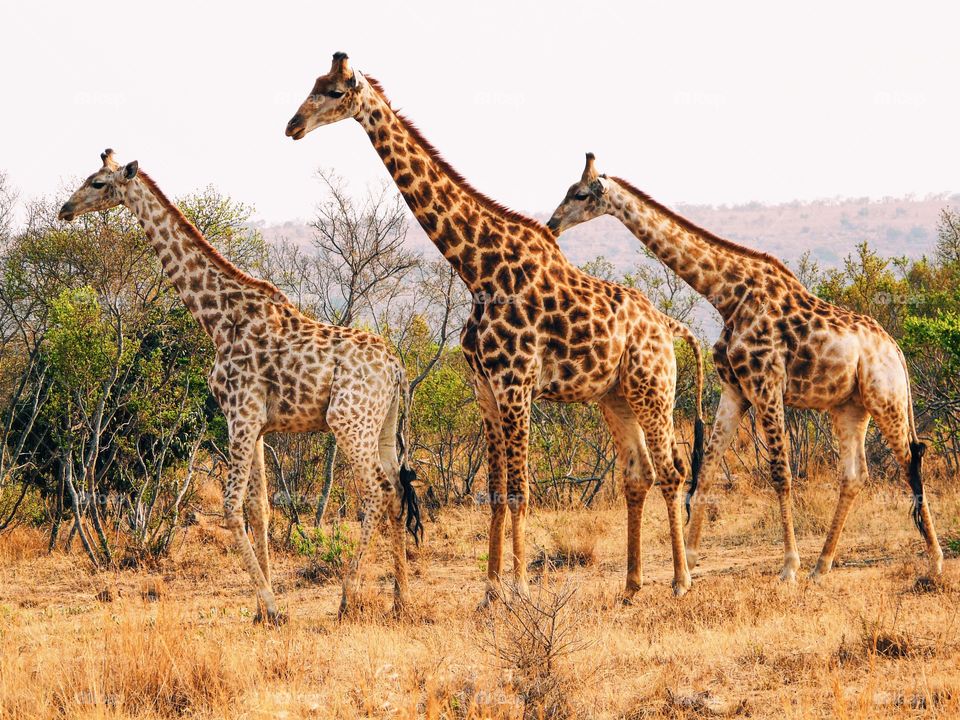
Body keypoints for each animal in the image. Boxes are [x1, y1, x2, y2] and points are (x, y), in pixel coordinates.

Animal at [58, 150, 424, 621]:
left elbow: (232, 508)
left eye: (99, 183)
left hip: (349, 421)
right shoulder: (259, 424)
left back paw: (347, 598)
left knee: (376, 492)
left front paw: (271, 606)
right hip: (383, 424)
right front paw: (261, 610)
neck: (217, 319)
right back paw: (401, 600)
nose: (66, 209)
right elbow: (259, 507)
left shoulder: (240, 412)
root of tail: (397, 367)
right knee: (397, 490)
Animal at [285, 53, 706, 601]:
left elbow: (521, 492)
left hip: (652, 388)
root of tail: (671, 326)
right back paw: (632, 585)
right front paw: (490, 592)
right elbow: (495, 493)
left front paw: (522, 589)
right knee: (640, 472)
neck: (478, 271)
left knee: (673, 470)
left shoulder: (516, 385)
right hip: (614, 395)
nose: (293, 125)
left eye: (335, 91)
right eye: (314, 83)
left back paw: (679, 581)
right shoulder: (485, 389)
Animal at [546, 153, 944, 581]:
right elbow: (708, 467)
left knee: (909, 460)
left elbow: (780, 473)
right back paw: (822, 565)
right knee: (854, 476)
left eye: (580, 194)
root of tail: (897, 351)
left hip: (885, 398)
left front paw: (788, 566)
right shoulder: (735, 389)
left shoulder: (765, 384)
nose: (552, 224)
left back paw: (934, 559)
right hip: (850, 406)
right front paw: (689, 556)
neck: (728, 295)